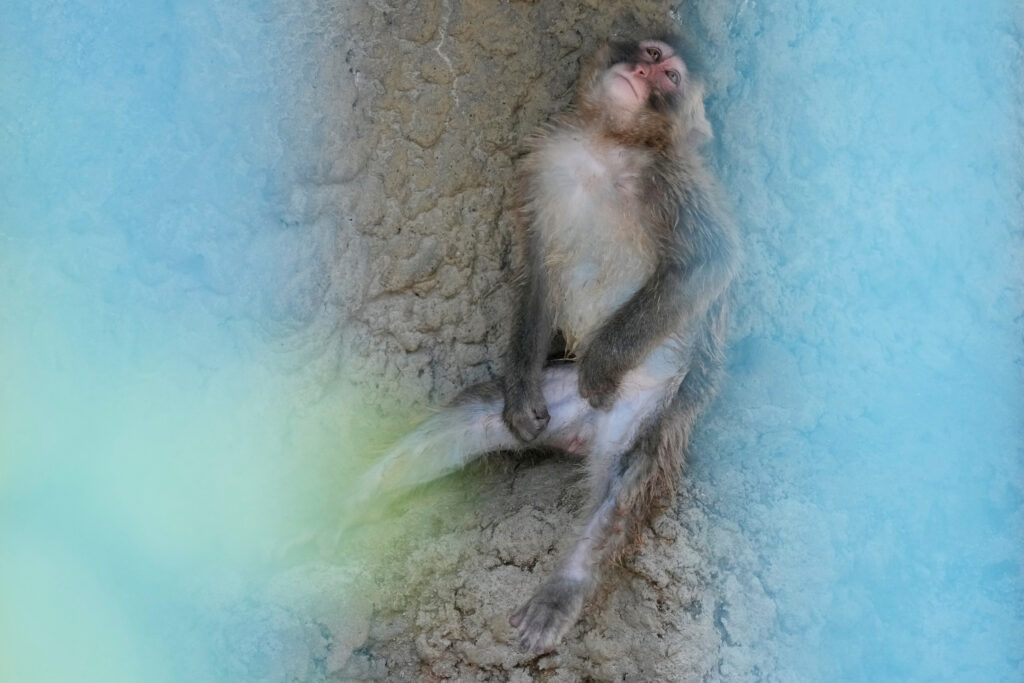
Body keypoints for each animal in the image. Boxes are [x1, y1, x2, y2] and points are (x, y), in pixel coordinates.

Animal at [356, 34, 738, 655]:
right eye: (651, 52)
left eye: (671, 77)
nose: (643, 73)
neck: (606, 143)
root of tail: (587, 433)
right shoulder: (544, 161)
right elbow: (537, 270)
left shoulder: (672, 179)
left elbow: (710, 262)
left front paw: (603, 364)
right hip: (554, 398)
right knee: (474, 416)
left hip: (651, 405)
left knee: (628, 478)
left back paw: (565, 586)